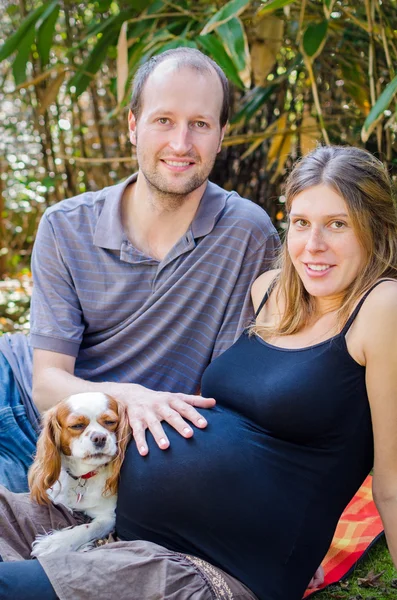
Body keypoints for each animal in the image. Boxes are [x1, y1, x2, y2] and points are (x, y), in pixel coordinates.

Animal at [28, 394, 130, 556]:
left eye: (110, 422)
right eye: (77, 425)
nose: (99, 438)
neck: (83, 476)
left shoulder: (109, 517)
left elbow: (89, 528)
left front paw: (57, 542)